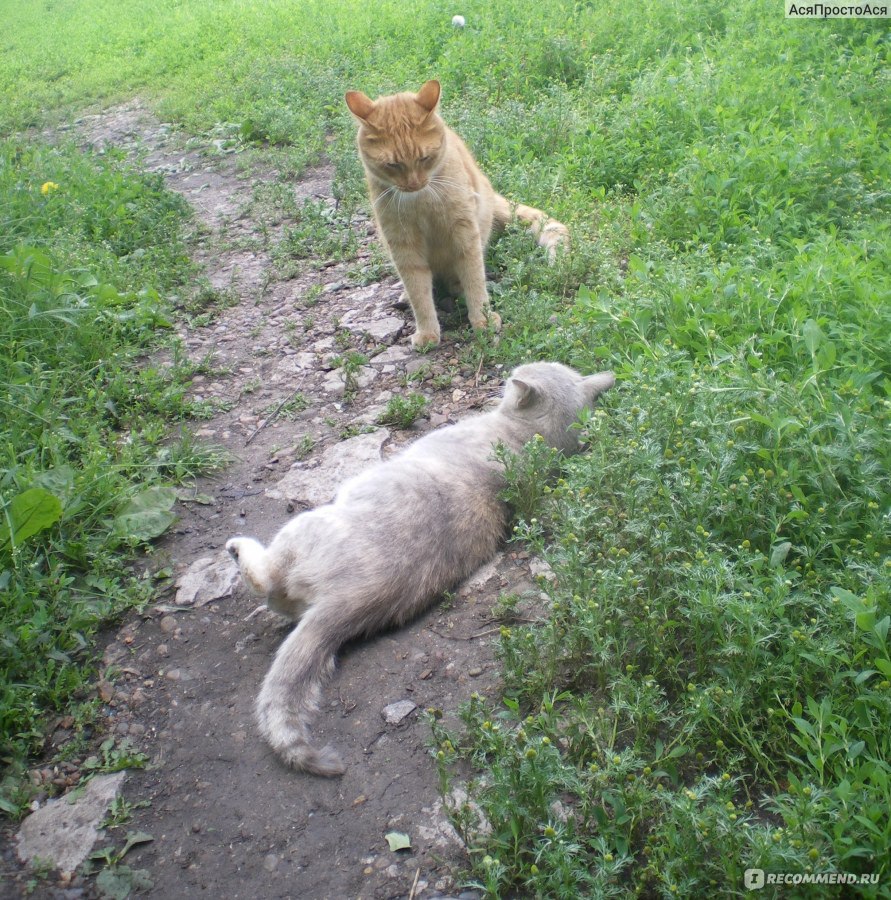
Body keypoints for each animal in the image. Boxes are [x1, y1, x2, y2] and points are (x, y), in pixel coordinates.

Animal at [225, 362, 612, 776]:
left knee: (266, 582)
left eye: (518, 375)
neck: (530, 440)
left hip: (303, 529)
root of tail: (349, 600)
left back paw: (239, 550)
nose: (509, 372)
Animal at [344, 81, 568, 348]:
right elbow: (418, 291)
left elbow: (474, 278)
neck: (421, 200)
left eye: (424, 158)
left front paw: (483, 319)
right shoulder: (402, 244)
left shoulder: (464, 233)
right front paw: (428, 332)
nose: (413, 184)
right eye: (393, 165)